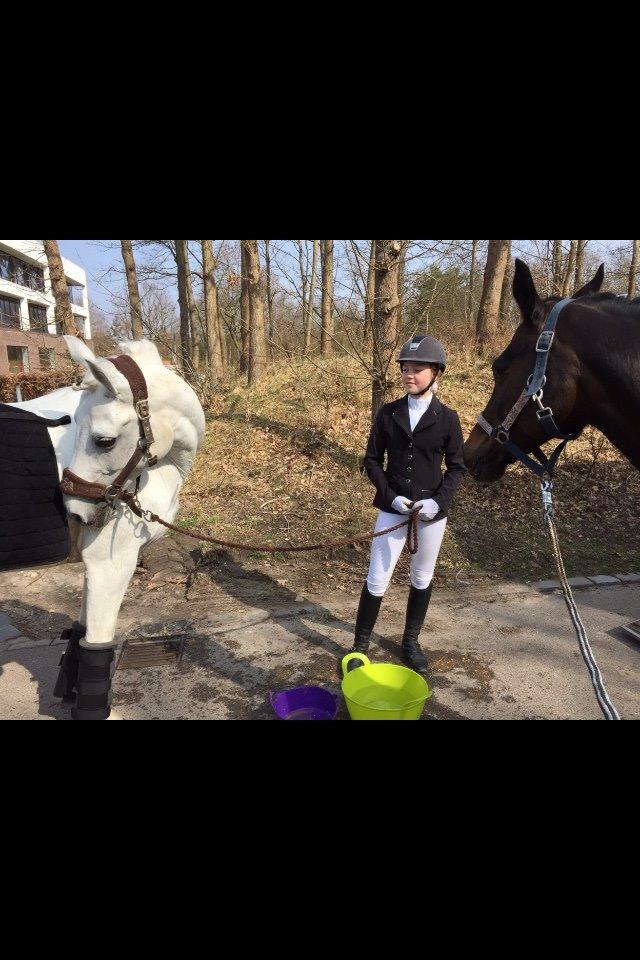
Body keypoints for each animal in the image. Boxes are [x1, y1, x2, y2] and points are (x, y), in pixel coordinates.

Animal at [11, 334, 205, 716]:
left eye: (104, 441)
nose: (75, 512)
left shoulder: (92, 565)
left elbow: (80, 636)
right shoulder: (110, 564)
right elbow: (97, 645)